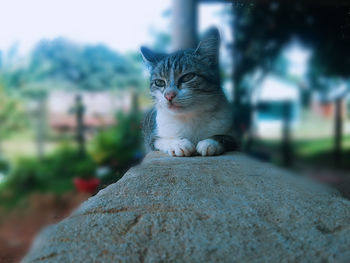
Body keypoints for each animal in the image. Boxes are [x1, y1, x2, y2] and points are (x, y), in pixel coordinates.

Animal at [140, 27, 238, 158]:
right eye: (159, 82)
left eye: (187, 77)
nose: (169, 95)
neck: (190, 116)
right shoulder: (152, 136)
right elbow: (159, 139)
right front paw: (178, 143)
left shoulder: (234, 134)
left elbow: (226, 137)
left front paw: (209, 142)